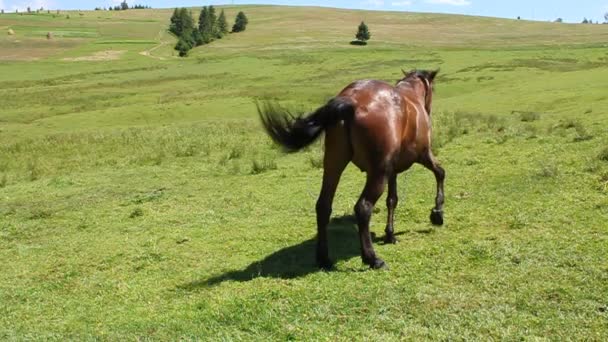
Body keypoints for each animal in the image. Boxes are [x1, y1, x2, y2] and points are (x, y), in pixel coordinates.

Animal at [258, 69, 444, 270]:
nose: (429, 110)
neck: (410, 96)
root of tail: (351, 100)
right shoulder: (423, 156)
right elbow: (440, 173)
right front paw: (437, 213)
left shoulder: (392, 171)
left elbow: (392, 200)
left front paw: (390, 234)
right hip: (377, 173)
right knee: (363, 207)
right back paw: (372, 258)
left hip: (334, 164)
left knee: (323, 206)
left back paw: (324, 258)